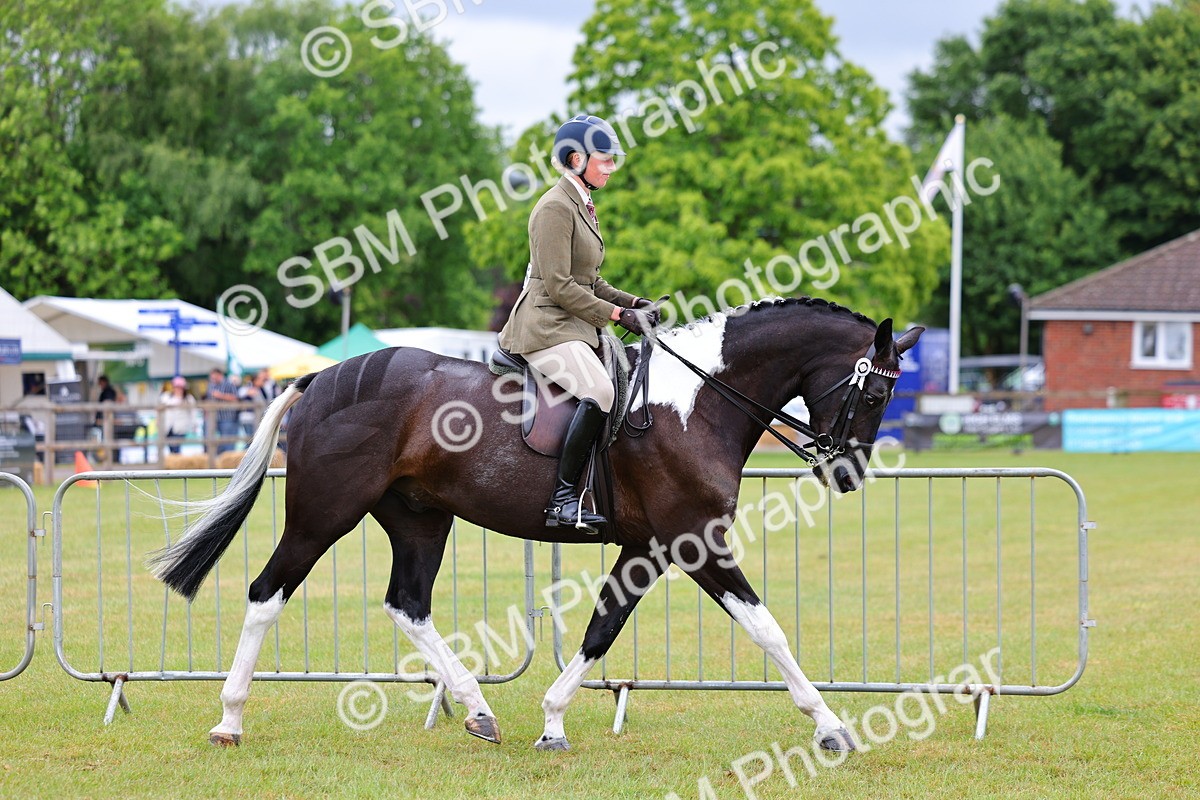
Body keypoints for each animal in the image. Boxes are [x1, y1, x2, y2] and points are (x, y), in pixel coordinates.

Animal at [149, 296, 922, 752]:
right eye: (874, 393)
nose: (847, 474)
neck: (697, 402)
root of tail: (320, 379)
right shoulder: (694, 541)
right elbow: (766, 627)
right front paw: (832, 726)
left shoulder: (646, 547)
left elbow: (601, 630)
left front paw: (551, 720)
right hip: (322, 515)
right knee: (266, 594)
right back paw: (229, 717)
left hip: (420, 518)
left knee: (409, 604)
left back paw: (476, 709)